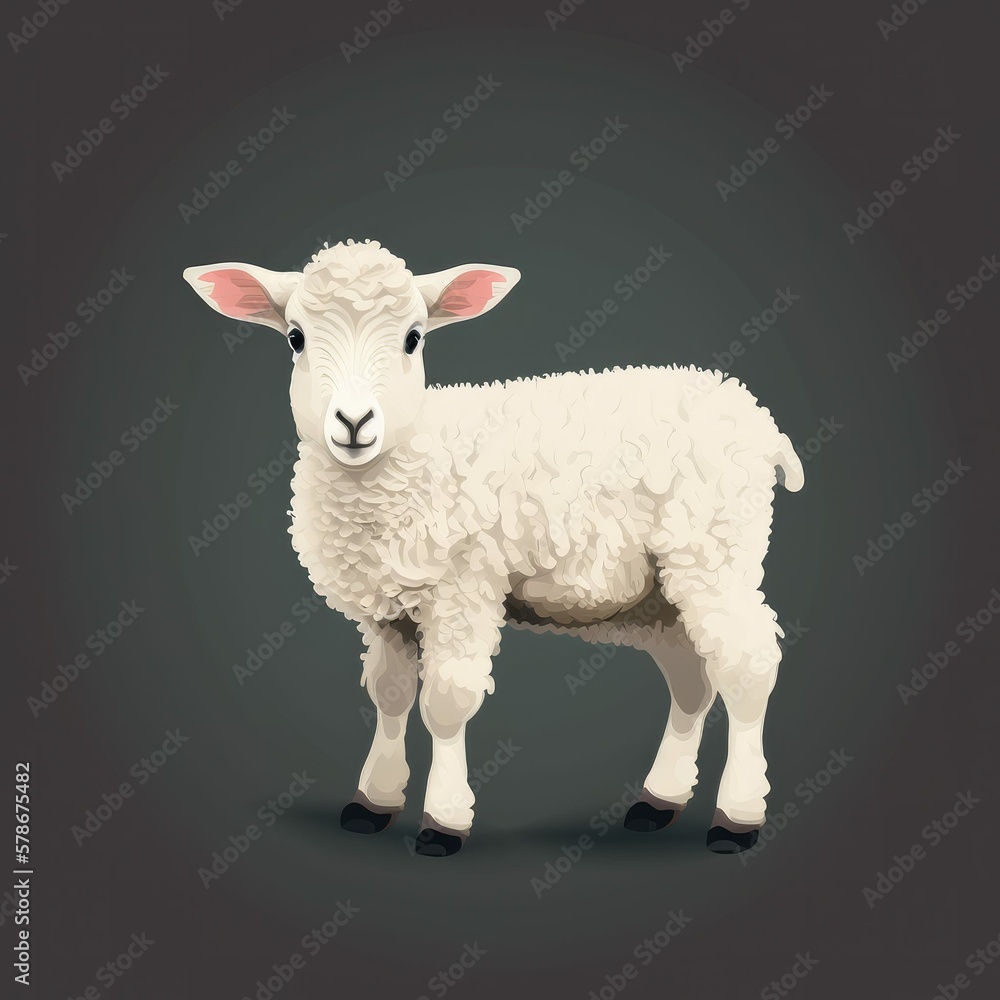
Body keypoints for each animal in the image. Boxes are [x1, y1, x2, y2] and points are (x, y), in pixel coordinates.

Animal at [183, 238, 804, 858]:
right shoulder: (387, 604)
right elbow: (388, 695)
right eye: (295, 337)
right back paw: (659, 802)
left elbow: (446, 701)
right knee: (692, 679)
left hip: (716, 547)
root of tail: (754, 415)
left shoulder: (463, 584)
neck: (406, 461)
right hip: (658, 593)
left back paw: (736, 818)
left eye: (414, 337)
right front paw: (372, 803)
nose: (354, 422)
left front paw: (443, 822)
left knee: (748, 665)